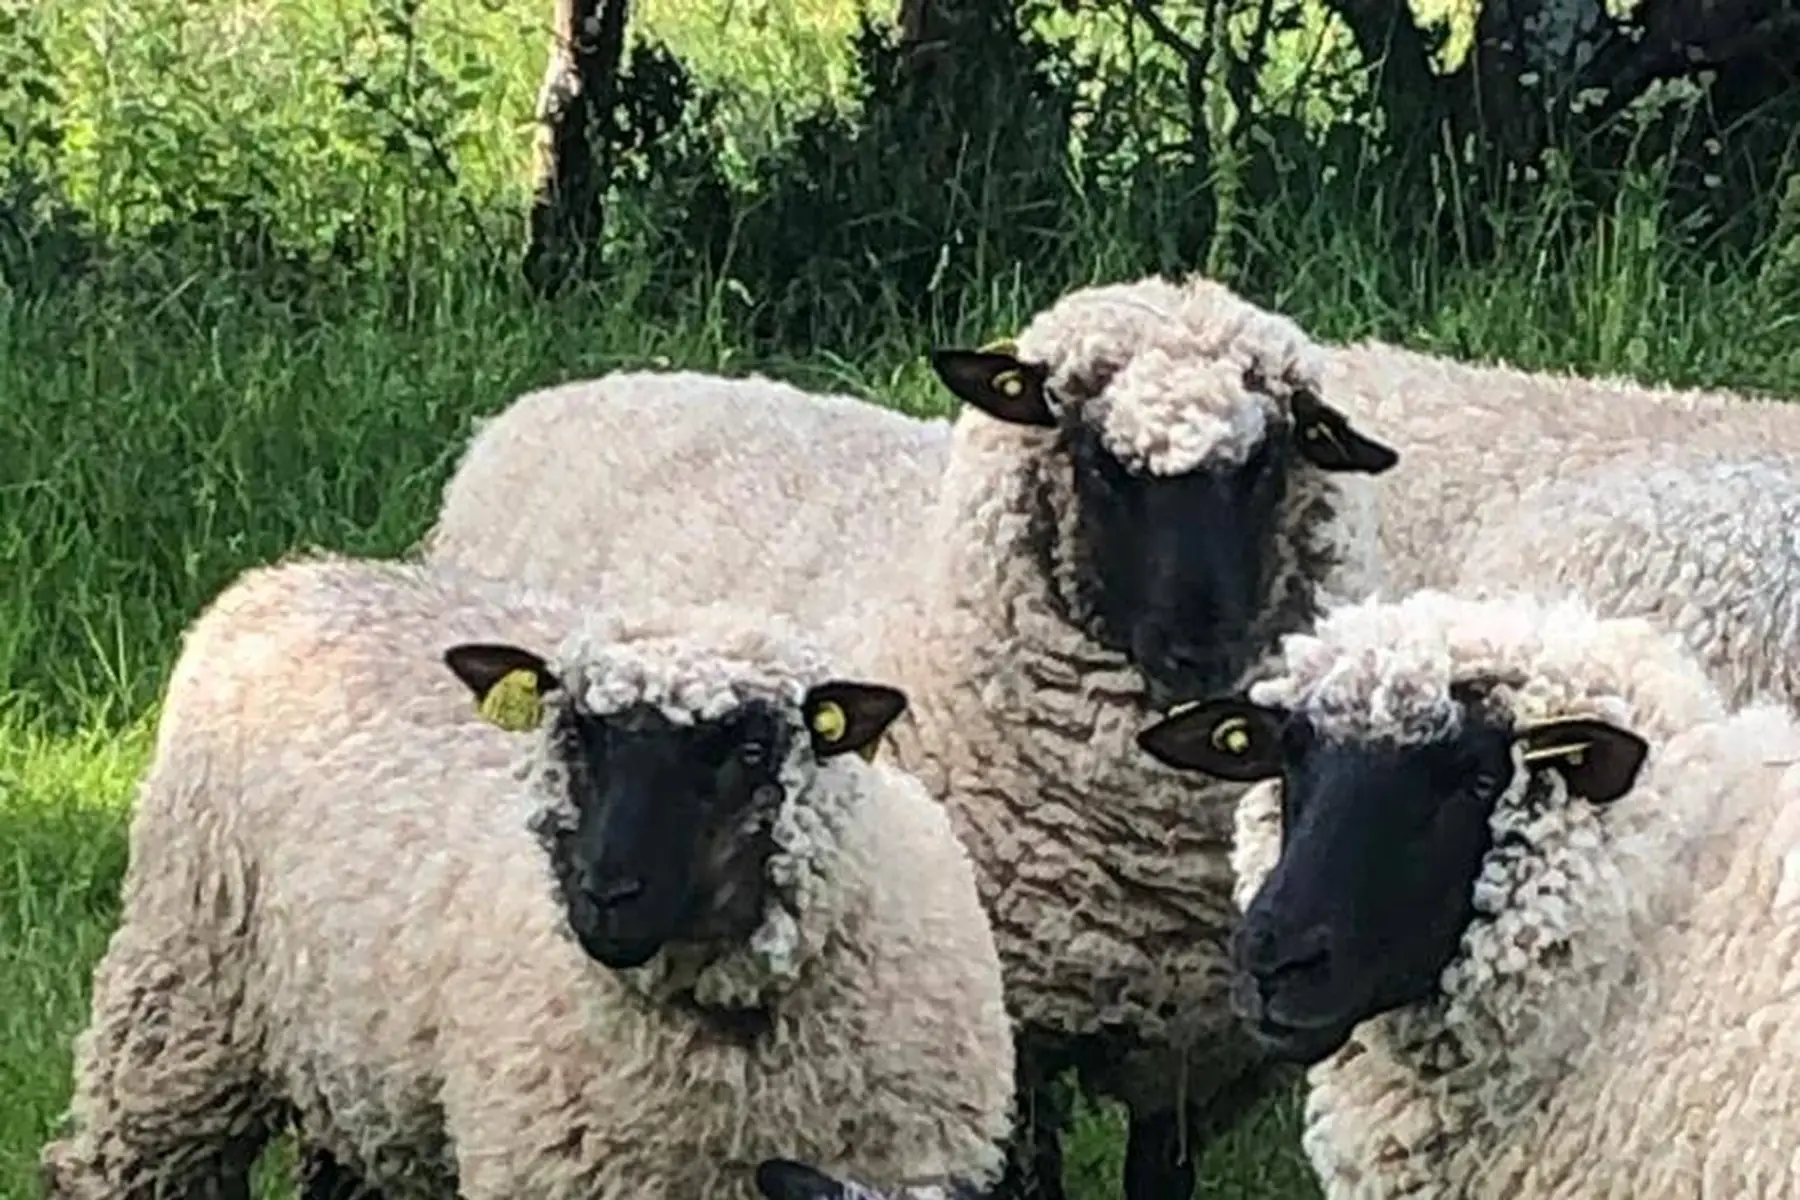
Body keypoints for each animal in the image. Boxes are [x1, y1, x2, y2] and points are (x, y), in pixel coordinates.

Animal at [39, 554, 1015, 1200]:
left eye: (746, 750)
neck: (736, 1059)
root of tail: (295, 572)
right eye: (575, 735)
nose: (606, 897)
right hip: (182, 1005)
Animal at [420, 283, 1405, 1200]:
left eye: (1268, 462)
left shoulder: (1191, 1051)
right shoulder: (1011, 1025)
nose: (1200, 646)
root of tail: (563, 393)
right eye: (1099, 461)